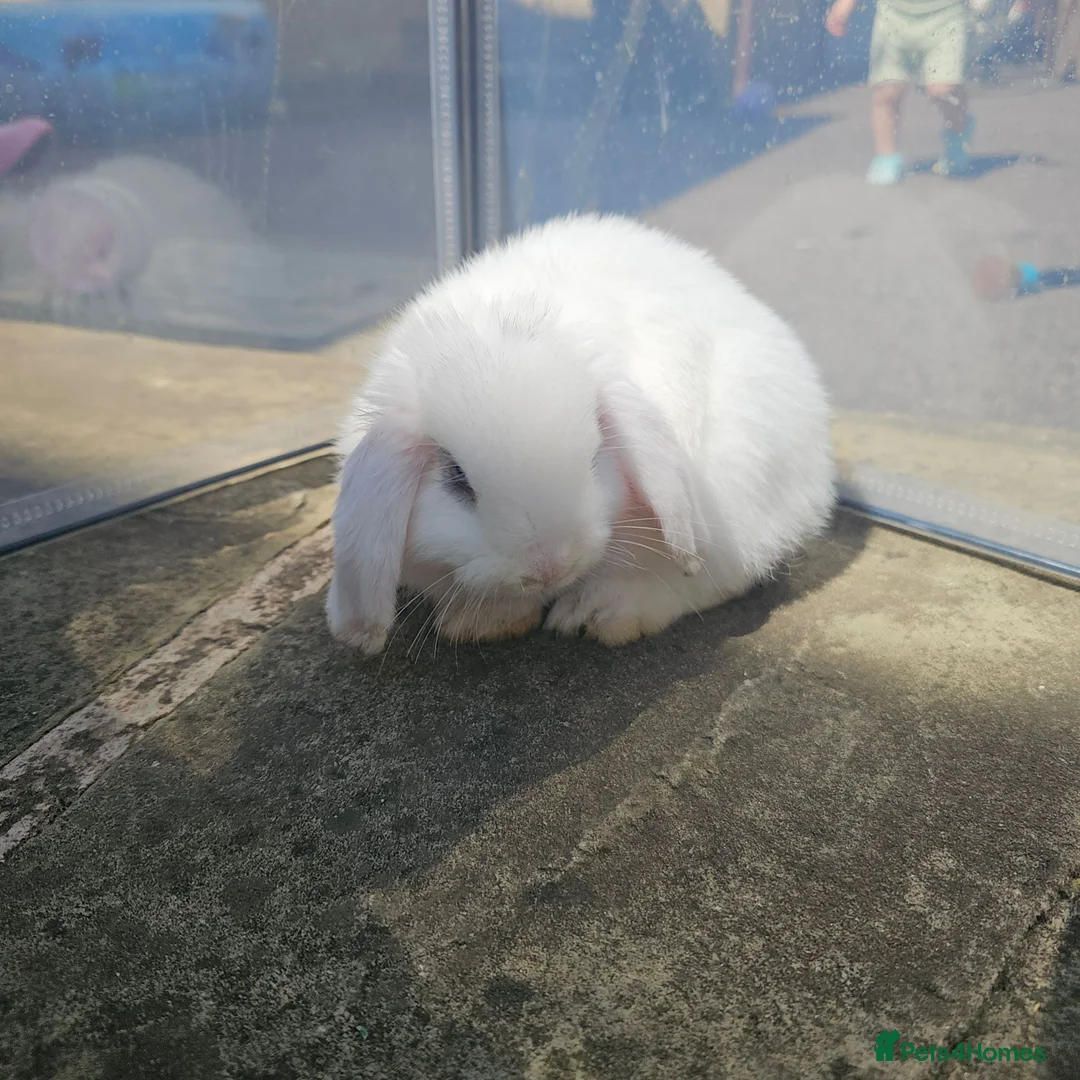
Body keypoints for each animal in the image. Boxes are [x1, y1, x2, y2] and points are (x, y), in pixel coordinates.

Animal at [327, 212, 836, 655]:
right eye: (456, 478)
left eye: (594, 456)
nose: (549, 565)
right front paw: (483, 622)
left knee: (709, 580)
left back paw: (600, 615)